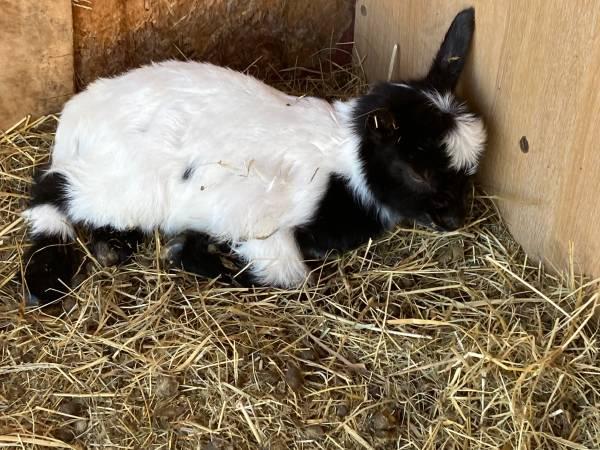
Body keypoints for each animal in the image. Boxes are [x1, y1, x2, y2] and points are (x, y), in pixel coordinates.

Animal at [21, 7, 486, 304]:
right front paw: (194, 255)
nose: (454, 220)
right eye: (418, 171)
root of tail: (76, 118)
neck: (343, 171)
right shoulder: (263, 224)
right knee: (50, 189)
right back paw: (45, 280)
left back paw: (112, 248)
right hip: (125, 184)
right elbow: (288, 274)